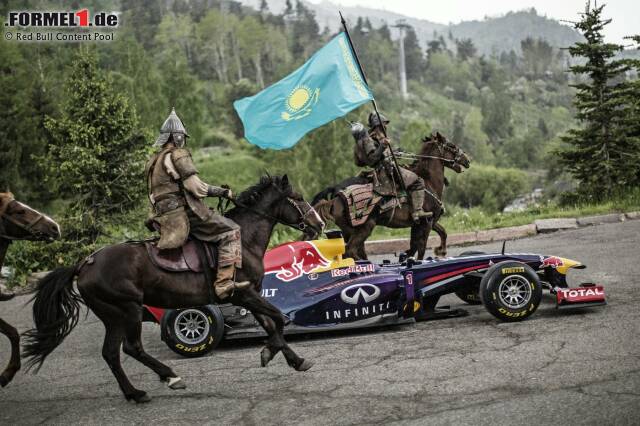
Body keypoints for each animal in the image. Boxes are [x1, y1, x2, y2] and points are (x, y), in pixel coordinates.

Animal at [23, 176, 324, 402]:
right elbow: (277, 320)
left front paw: (294, 359)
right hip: (128, 309)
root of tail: (85, 263)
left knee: (111, 353)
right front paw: (270, 352)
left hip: (113, 316)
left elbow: (271, 324)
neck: (244, 240)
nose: (319, 224)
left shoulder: (250, 295)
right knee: (131, 348)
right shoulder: (243, 293)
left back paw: (134, 393)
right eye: (297, 197)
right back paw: (170, 377)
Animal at [310, 133, 470, 260]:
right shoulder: (426, 223)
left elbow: (439, 233)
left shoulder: (422, 222)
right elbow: (421, 248)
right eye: (451, 145)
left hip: (348, 231)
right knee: (350, 251)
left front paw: (439, 251)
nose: (467, 160)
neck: (428, 181)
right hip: (364, 228)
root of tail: (336, 198)